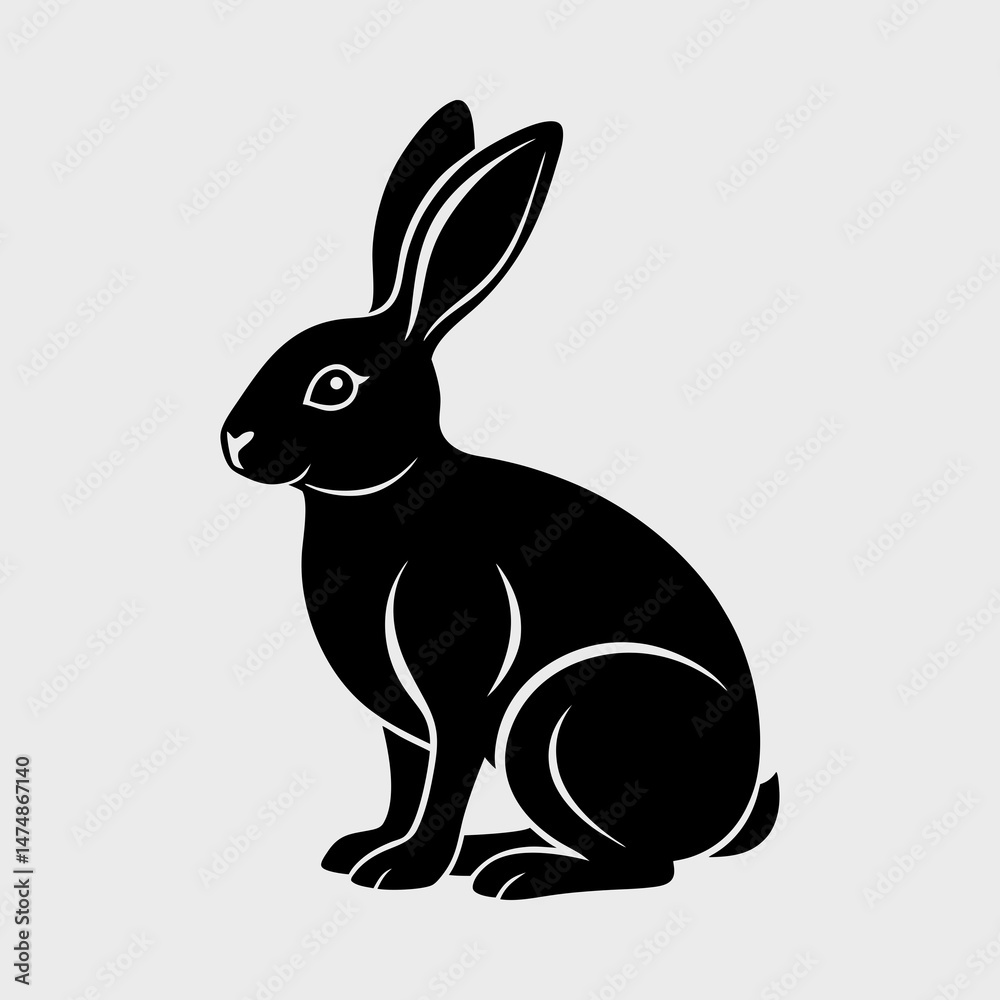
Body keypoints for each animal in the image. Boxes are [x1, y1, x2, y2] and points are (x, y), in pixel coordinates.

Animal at [221, 100, 779, 899]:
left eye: (333, 385)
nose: (235, 440)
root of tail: (731, 819)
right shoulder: (399, 723)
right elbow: (405, 782)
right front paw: (364, 851)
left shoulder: (456, 675)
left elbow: (443, 780)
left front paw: (403, 871)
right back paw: (493, 853)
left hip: (557, 724)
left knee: (648, 866)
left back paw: (516, 875)